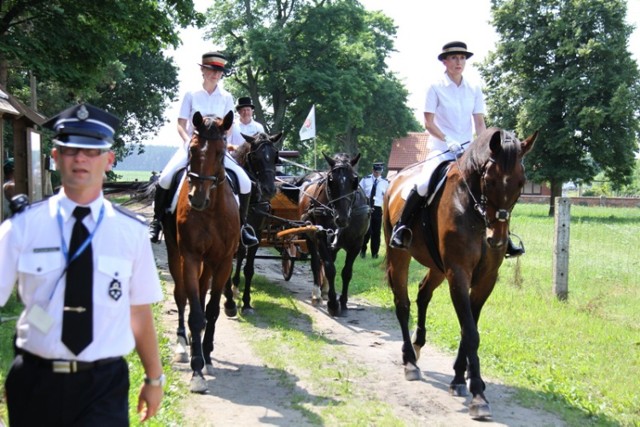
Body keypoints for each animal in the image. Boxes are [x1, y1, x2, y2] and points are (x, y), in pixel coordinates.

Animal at [161, 111, 241, 394]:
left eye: (220, 153)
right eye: (193, 149)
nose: (197, 198)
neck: (212, 210)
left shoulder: (224, 261)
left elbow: (212, 310)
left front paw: (207, 357)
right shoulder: (191, 257)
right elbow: (195, 312)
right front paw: (197, 370)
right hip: (176, 255)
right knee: (181, 296)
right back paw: (183, 346)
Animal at [298, 154, 368, 318]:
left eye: (355, 180)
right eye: (330, 180)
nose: (341, 218)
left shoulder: (357, 243)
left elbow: (346, 272)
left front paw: (343, 302)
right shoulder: (321, 237)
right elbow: (330, 268)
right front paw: (333, 304)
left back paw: (324, 291)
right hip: (309, 235)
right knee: (316, 263)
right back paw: (317, 294)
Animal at [382, 128, 536, 422]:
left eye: (521, 183)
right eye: (489, 180)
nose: (497, 240)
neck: (472, 209)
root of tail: (394, 182)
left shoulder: (486, 279)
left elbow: (469, 327)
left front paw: (459, 378)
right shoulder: (458, 273)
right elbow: (471, 332)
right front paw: (477, 394)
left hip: (437, 267)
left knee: (423, 293)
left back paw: (418, 345)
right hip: (400, 256)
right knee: (403, 304)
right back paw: (410, 361)